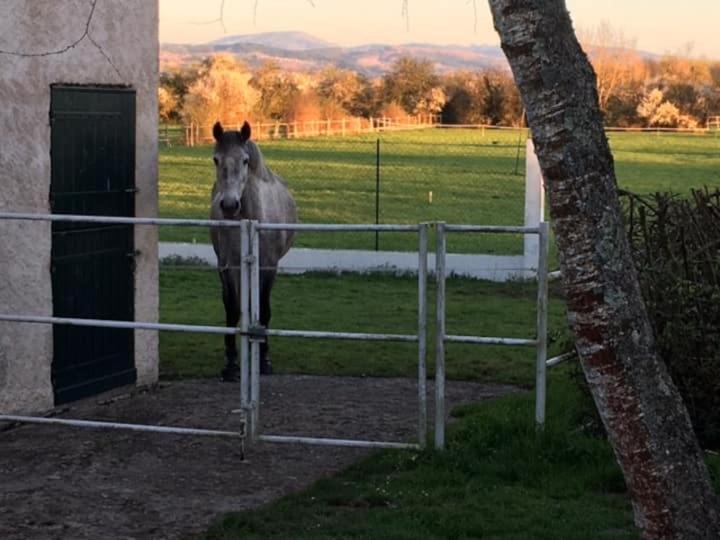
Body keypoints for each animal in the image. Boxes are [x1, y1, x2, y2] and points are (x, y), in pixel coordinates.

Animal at [210, 119, 296, 378]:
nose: (229, 205)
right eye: (216, 159)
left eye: (245, 160)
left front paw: (265, 361)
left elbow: (264, 310)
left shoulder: (268, 267)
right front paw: (230, 364)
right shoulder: (227, 267)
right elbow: (232, 308)